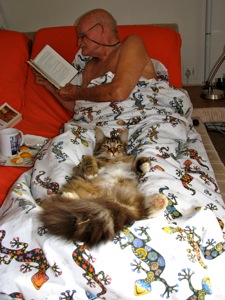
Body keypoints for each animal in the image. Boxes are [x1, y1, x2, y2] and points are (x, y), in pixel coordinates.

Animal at [39, 127, 168, 247]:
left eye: (119, 146)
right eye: (106, 146)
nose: (113, 151)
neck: (113, 160)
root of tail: (109, 204)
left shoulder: (133, 173)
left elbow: (137, 166)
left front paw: (144, 163)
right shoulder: (78, 170)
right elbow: (88, 158)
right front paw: (91, 171)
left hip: (130, 204)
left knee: (145, 212)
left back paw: (158, 201)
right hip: (81, 187)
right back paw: (69, 196)